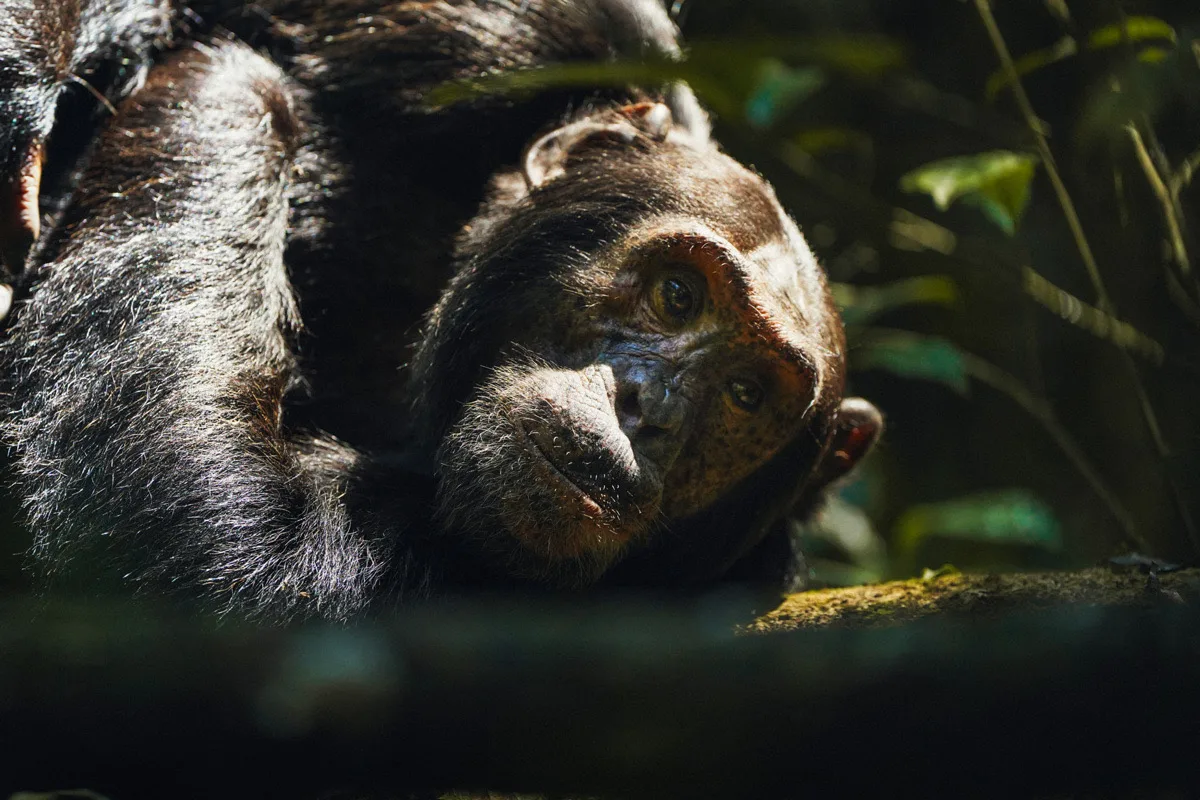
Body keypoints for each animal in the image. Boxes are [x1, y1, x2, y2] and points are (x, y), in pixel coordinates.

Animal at [0, 0, 882, 620]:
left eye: (746, 394)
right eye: (678, 295)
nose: (647, 407)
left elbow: (213, 534)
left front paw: (239, 89)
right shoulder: (517, 36)